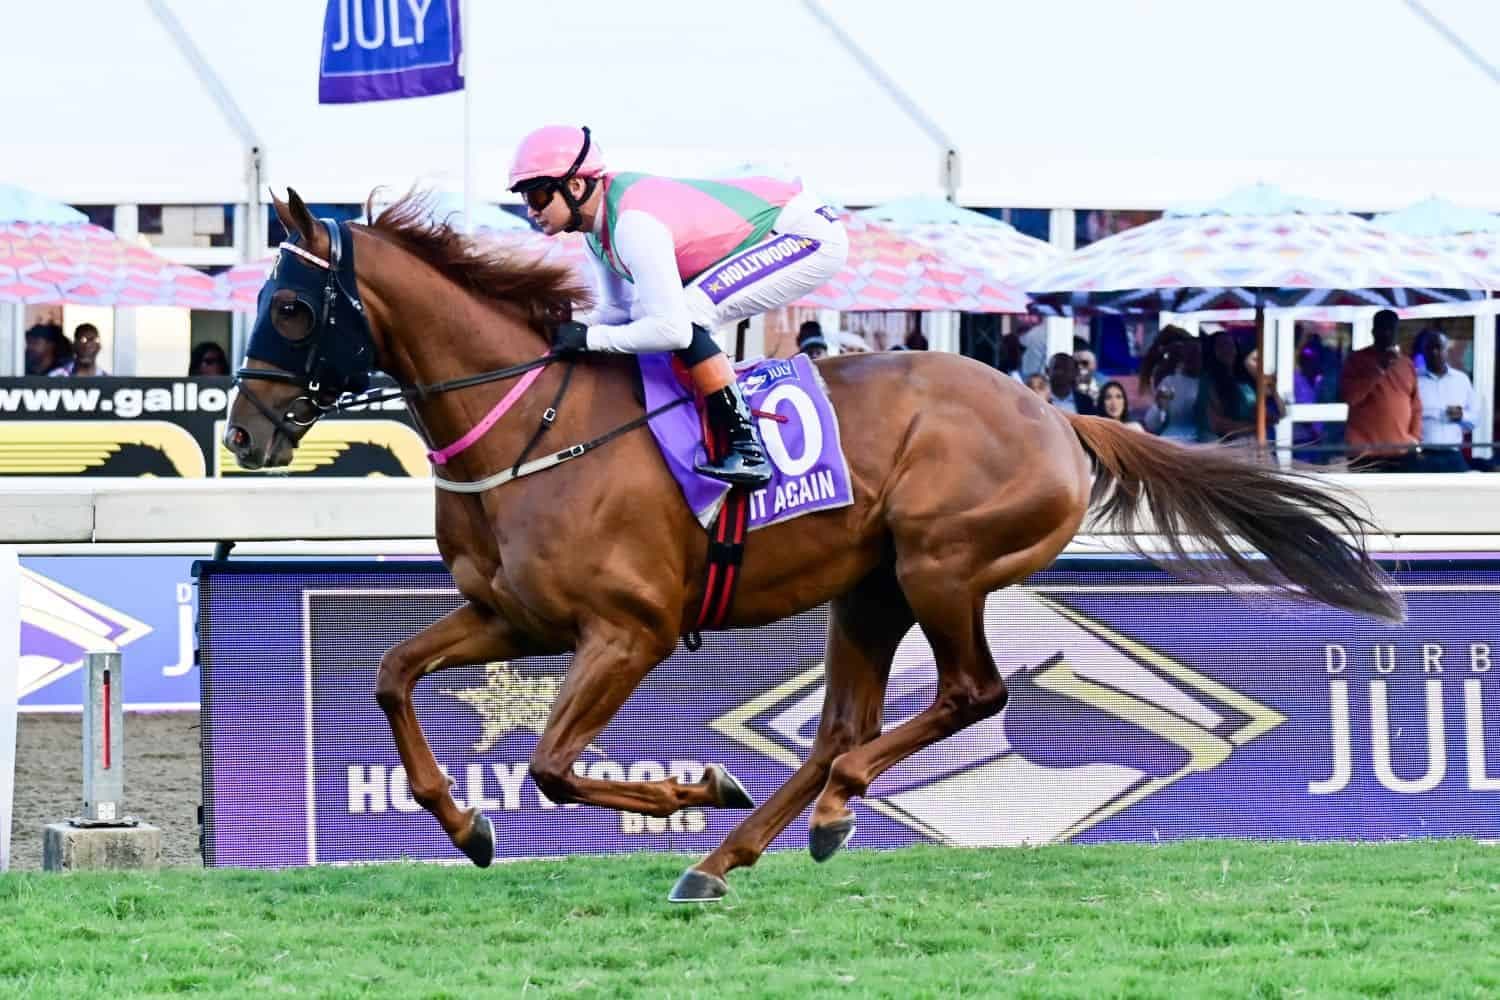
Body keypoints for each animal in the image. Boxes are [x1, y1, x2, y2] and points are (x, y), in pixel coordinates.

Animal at [226, 189, 1402, 902]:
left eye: (290, 310)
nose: (242, 434)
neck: (531, 422)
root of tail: (1056, 414)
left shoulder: (631, 630)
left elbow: (556, 766)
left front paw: (698, 786)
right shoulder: (510, 616)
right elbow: (392, 674)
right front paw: (465, 823)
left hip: (942, 565)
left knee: (965, 697)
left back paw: (809, 811)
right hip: (869, 590)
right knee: (843, 725)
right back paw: (729, 857)